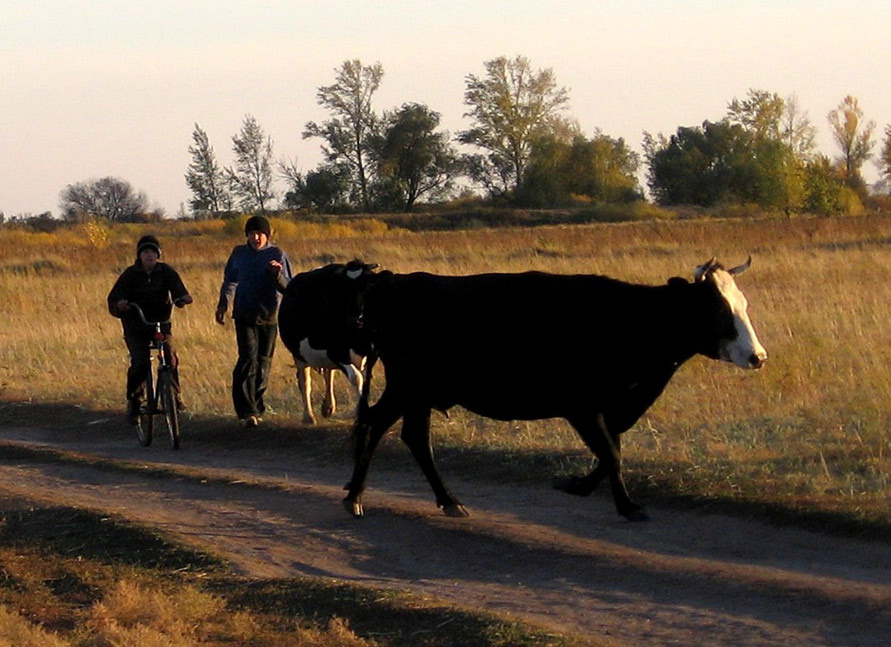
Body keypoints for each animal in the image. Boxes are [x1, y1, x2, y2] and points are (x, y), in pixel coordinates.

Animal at [278, 260, 379, 424]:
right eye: (344, 290)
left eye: (367, 287)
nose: (357, 318)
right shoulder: (336, 352)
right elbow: (357, 378)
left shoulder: (373, 352)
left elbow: (365, 380)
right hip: (298, 354)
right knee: (305, 382)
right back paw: (309, 416)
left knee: (328, 375)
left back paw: (328, 407)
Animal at [342, 258, 766, 521]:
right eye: (718, 310)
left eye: (744, 304)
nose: (758, 356)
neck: (631, 320)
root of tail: (393, 281)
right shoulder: (583, 405)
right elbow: (612, 453)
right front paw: (626, 506)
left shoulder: (613, 407)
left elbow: (611, 451)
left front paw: (579, 485)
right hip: (409, 385)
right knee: (382, 426)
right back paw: (357, 497)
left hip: (418, 391)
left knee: (406, 434)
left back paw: (442, 500)